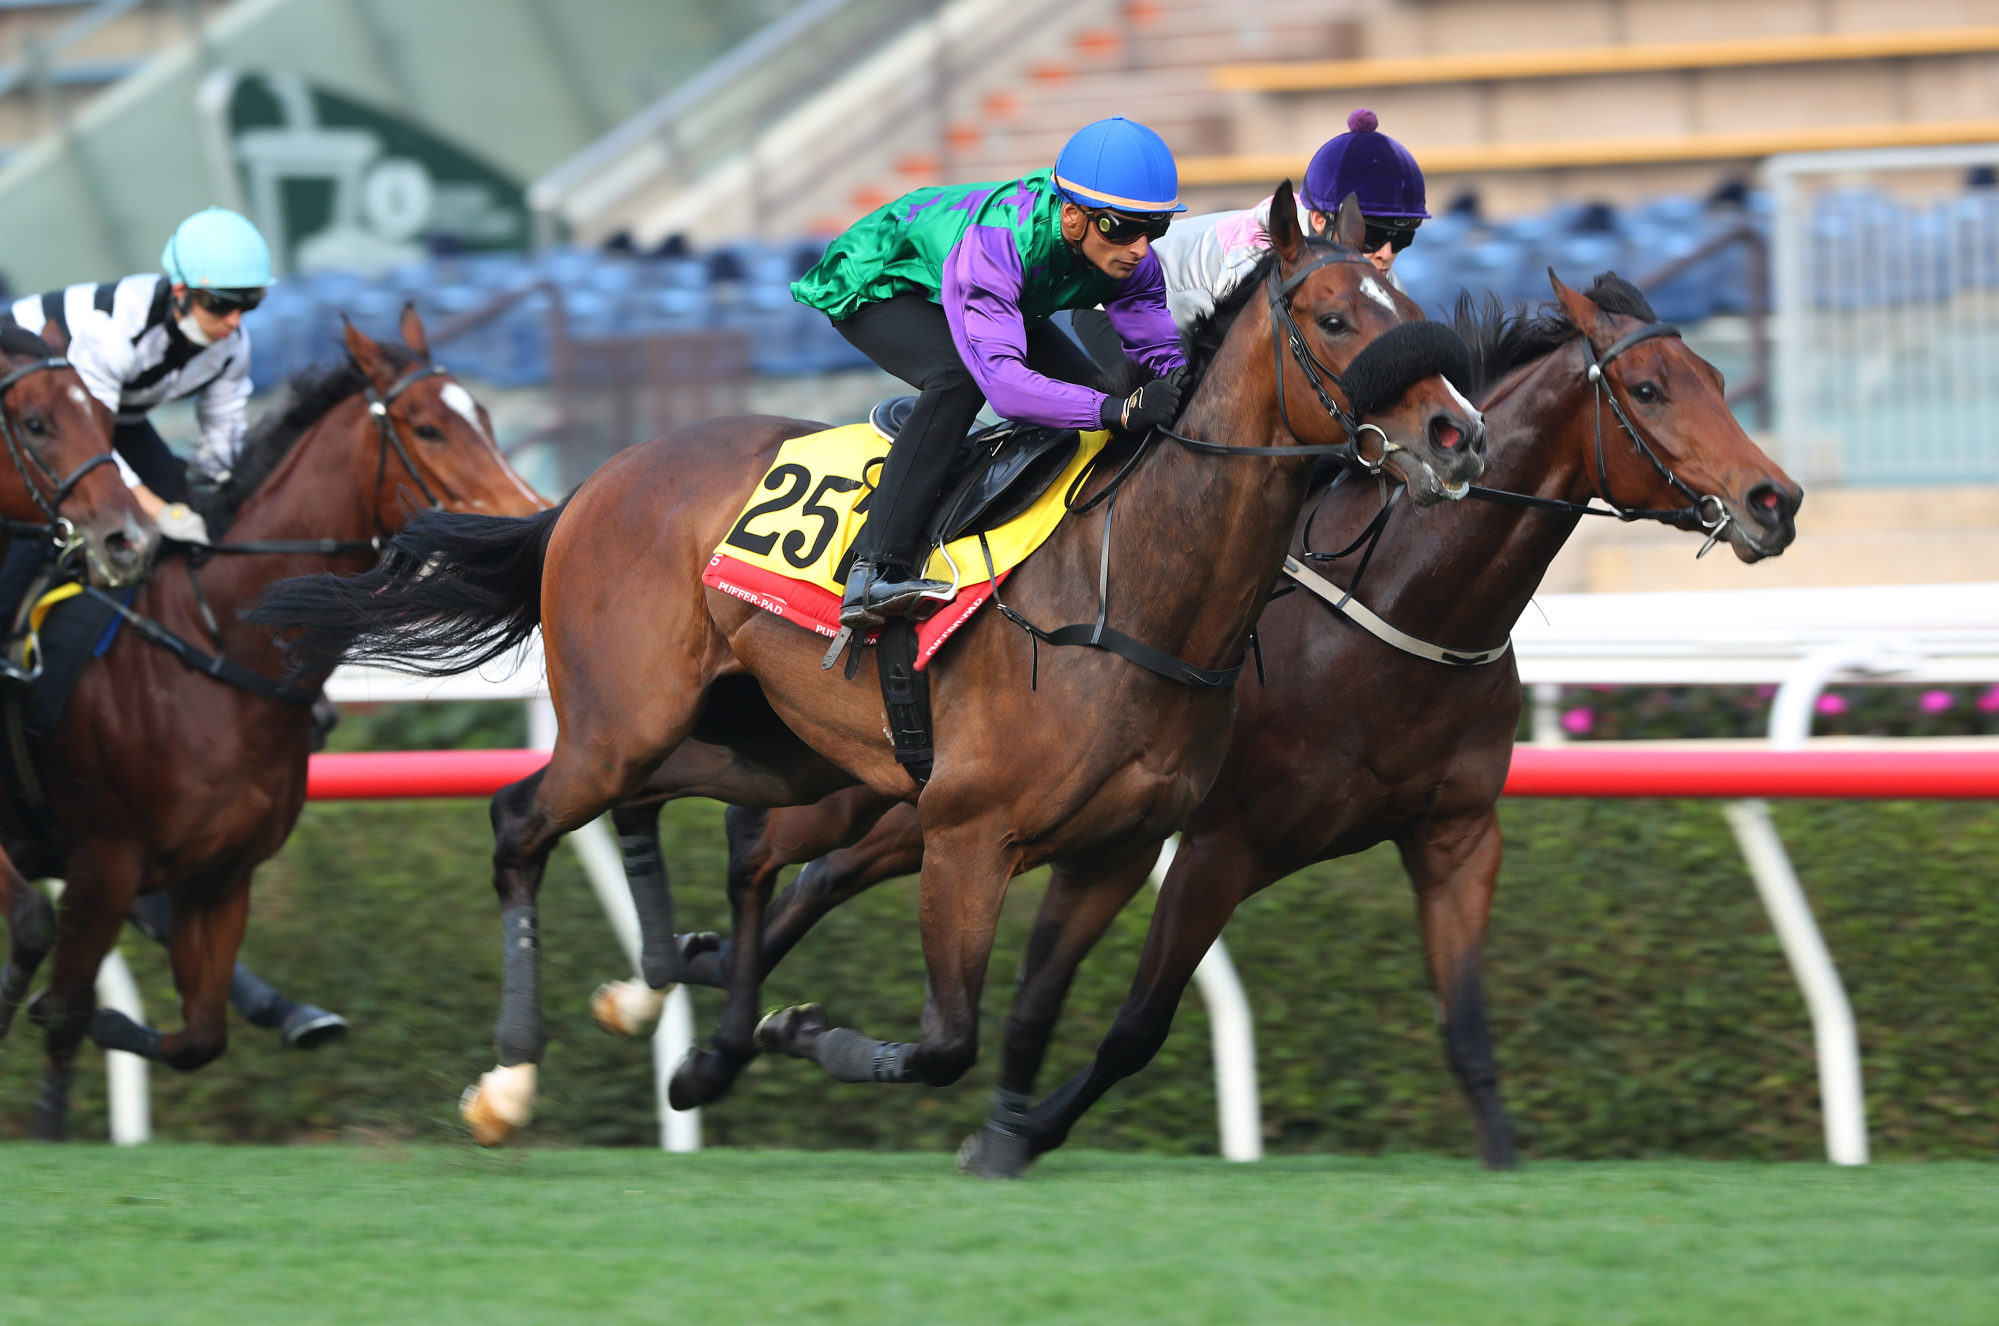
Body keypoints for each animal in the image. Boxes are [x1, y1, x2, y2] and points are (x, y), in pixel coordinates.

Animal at [0, 312, 547, 1144]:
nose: (532, 519)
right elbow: (64, 1011)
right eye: (427, 428)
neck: (212, 647)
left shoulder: (220, 879)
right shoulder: (103, 862)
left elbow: (197, 1036)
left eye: (483, 417)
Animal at [253, 189, 1487, 1152]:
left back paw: (671, 1002)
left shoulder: (1115, 851)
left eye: (1418, 315)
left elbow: (1027, 1021)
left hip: (775, 743)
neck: (1131, 591)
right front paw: (806, 1033)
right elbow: (946, 1041)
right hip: (623, 721)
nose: (1458, 437)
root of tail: (594, 480)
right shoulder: (968, 834)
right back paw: (512, 1081)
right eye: (1334, 317)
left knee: (731, 845)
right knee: (526, 821)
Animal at [599, 270, 1807, 1176]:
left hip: (913, 801)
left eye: (1714, 375)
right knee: (784, 855)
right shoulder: (1223, 841)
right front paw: (1017, 1133)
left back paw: (711, 1001)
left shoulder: (1456, 833)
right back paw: (711, 1017)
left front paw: (1505, 1159)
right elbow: (1138, 1026)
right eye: (1648, 386)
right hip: (892, 785)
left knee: (811, 874)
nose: (1774, 501)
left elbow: (1465, 1025)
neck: (1396, 613)